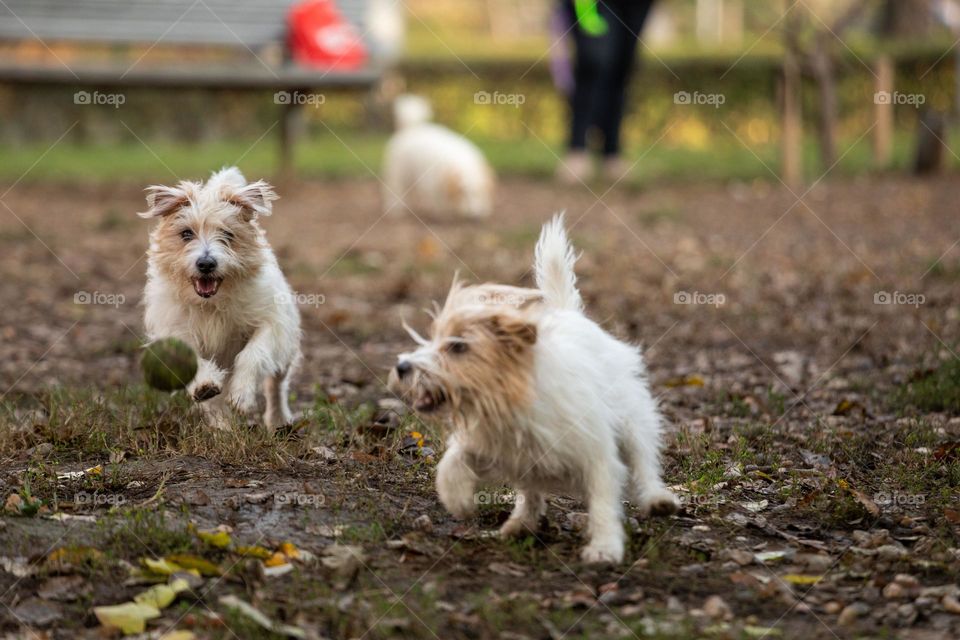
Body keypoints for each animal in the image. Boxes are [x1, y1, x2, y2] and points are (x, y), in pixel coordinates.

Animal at [139, 168, 300, 432]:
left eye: (227, 234)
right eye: (186, 234)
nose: (206, 263)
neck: (211, 304)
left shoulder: (270, 323)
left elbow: (252, 354)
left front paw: (242, 396)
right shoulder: (176, 329)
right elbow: (192, 361)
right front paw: (204, 386)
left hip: (286, 352)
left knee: (276, 385)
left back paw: (278, 418)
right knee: (215, 403)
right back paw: (222, 425)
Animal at [388, 216, 676, 564]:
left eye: (458, 346)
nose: (402, 367)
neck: (511, 400)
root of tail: (570, 313)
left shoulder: (596, 453)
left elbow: (603, 499)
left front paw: (605, 546)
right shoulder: (489, 444)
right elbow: (452, 462)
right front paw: (458, 498)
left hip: (633, 419)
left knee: (644, 461)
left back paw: (657, 498)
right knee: (530, 492)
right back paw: (520, 523)